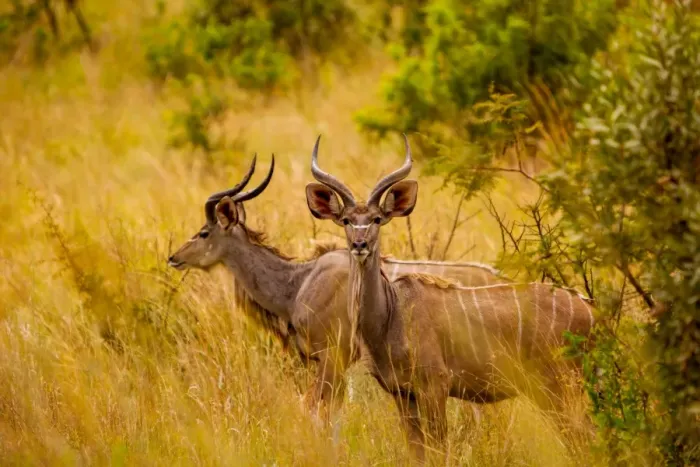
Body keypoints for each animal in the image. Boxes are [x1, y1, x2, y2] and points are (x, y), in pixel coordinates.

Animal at [167, 154, 506, 435]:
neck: (299, 283)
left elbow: (319, 412)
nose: (173, 257)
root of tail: (498, 276)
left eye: (203, 233)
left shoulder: (333, 357)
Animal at [305, 135, 596, 461]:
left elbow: (438, 448)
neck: (391, 315)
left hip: (561, 386)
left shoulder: (435, 386)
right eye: (345, 220)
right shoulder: (403, 393)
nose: (360, 244)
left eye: (377, 218)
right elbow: (417, 451)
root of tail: (590, 311)